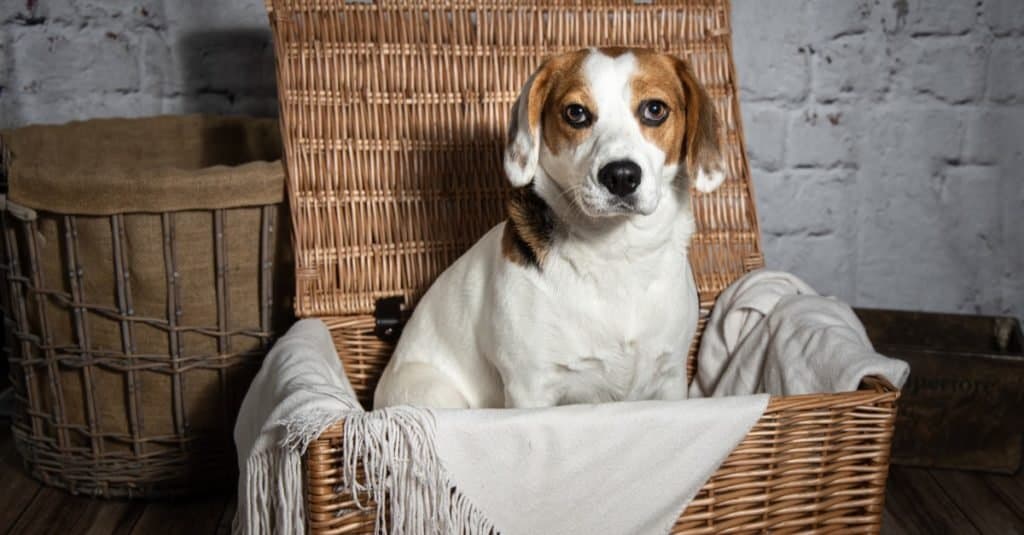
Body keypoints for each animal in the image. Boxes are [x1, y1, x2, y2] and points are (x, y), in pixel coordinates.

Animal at [376, 48, 729, 407]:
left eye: (655, 109)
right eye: (576, 113)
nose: (620, 176)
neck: (617, 252)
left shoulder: (670, 380)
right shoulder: (529, 389)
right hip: (433, 393)